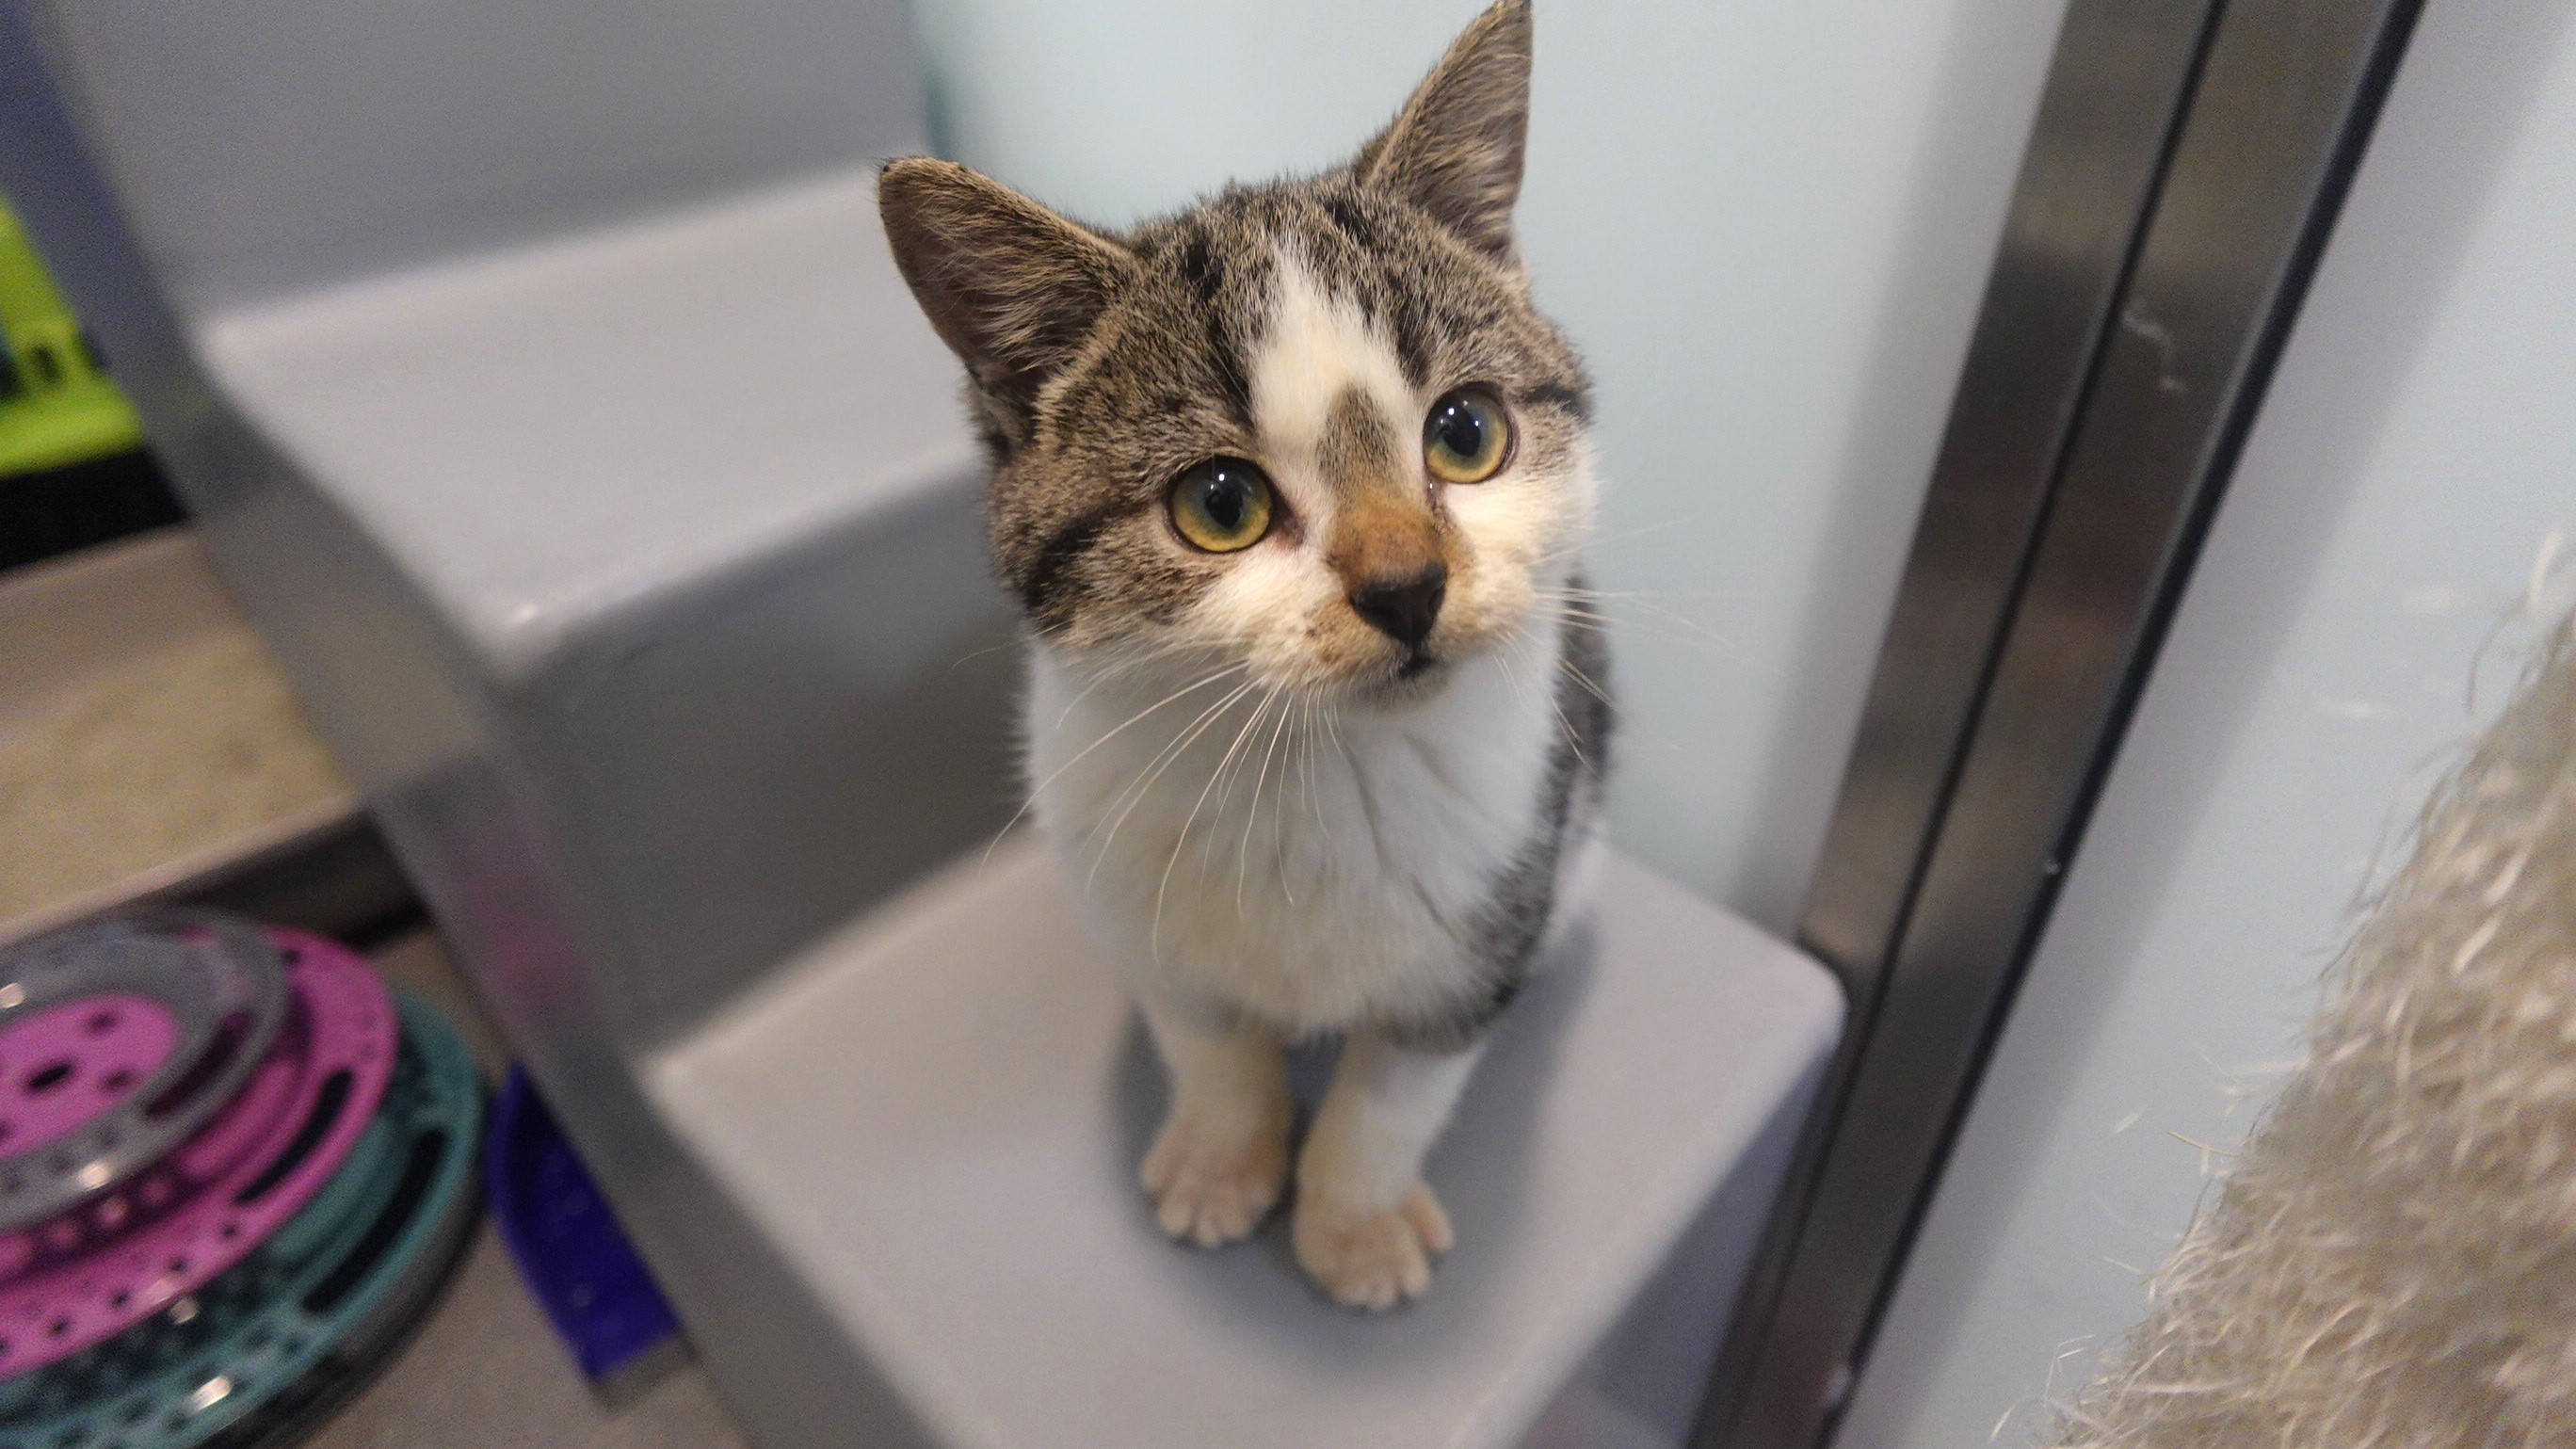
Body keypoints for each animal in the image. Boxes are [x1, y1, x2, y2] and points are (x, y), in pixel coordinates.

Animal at [878, 0, 1610, 1310]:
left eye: (1467, 432)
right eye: (1220, 504)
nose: (1406, 586)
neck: (1317, 773)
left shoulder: (1494, 905)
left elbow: (1397, 1085)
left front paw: (1354, 1223)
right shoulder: (1126, 897)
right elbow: (1209, 1041)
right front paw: (1224, 1163)